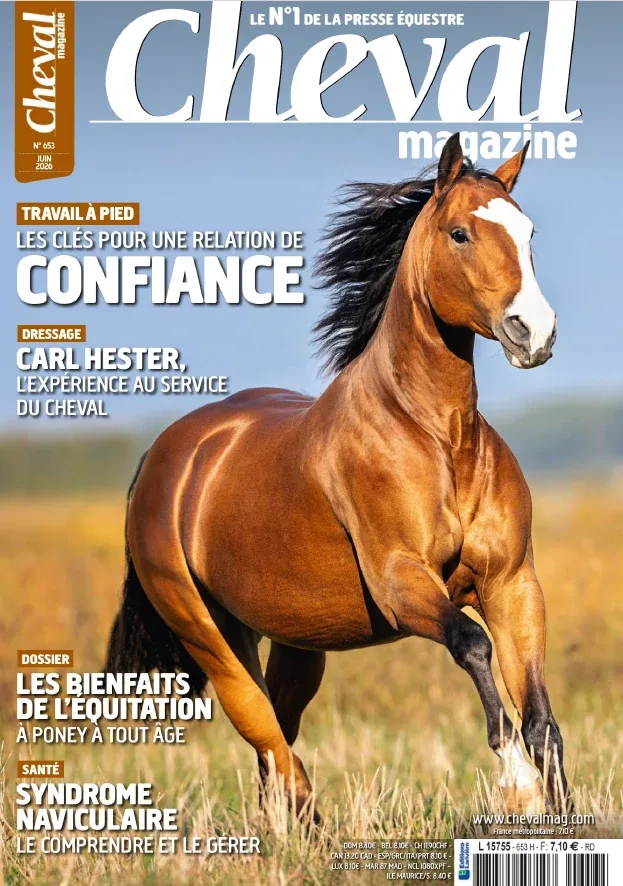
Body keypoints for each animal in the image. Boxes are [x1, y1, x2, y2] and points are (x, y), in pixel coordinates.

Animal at [106, 133, 571, 818]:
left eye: (529, 231)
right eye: (459, 233)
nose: (533, 333)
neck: (436, 437)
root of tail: (163, 459)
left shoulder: (513, 583)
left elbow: (541, 721)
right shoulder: (401, 581)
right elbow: (471, 645)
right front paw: (517, 784)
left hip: (292, 639)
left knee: (278, 741)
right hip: (207, 635)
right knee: (271, 740)